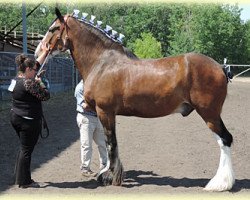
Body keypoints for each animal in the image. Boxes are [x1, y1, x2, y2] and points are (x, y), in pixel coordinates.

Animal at [34, 8, 234, 192]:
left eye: (53, 28)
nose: (37, 53)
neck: (102, 62)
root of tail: (220, 67)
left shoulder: (105, 111)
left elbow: (110, 143)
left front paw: (109, 176)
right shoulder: (107, 113)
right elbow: (109, 143)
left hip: (209, 113)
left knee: (225, 139)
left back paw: (220, 183)